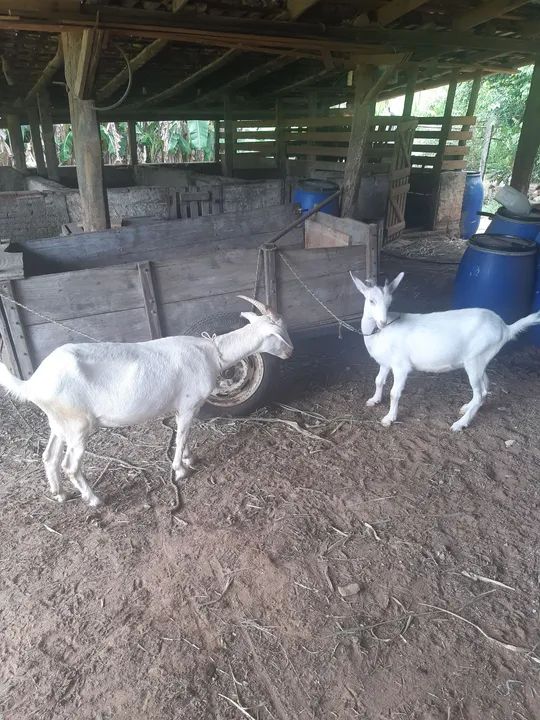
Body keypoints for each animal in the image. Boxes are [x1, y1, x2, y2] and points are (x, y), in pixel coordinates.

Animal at [0, 296, 293, 506]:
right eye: (280, 333)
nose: (290, 352)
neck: (211, 353)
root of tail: (33, 382)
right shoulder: (189, 403)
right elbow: (183, 435)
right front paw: (180, 470)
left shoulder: (183, 407)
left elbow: (184, 433)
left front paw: (188, 458)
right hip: (77, 424)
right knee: (70, 465)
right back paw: (94, 499)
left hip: (59, 421)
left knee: (49, 456)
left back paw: (59, 494)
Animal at [350, 271, 540, 432]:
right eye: (371, 300)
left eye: (390, 303)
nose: (382, 322)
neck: (380, 333)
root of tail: (505, 328)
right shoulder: (385, 362)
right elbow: (378, 381)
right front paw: (374, 400)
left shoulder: (401, 366)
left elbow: (394, 393)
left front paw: (389, 418)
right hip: (479, 360)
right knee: (484, 387)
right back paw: (466, 408)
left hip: (475, 360)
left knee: (480, 393)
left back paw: (460, 424)